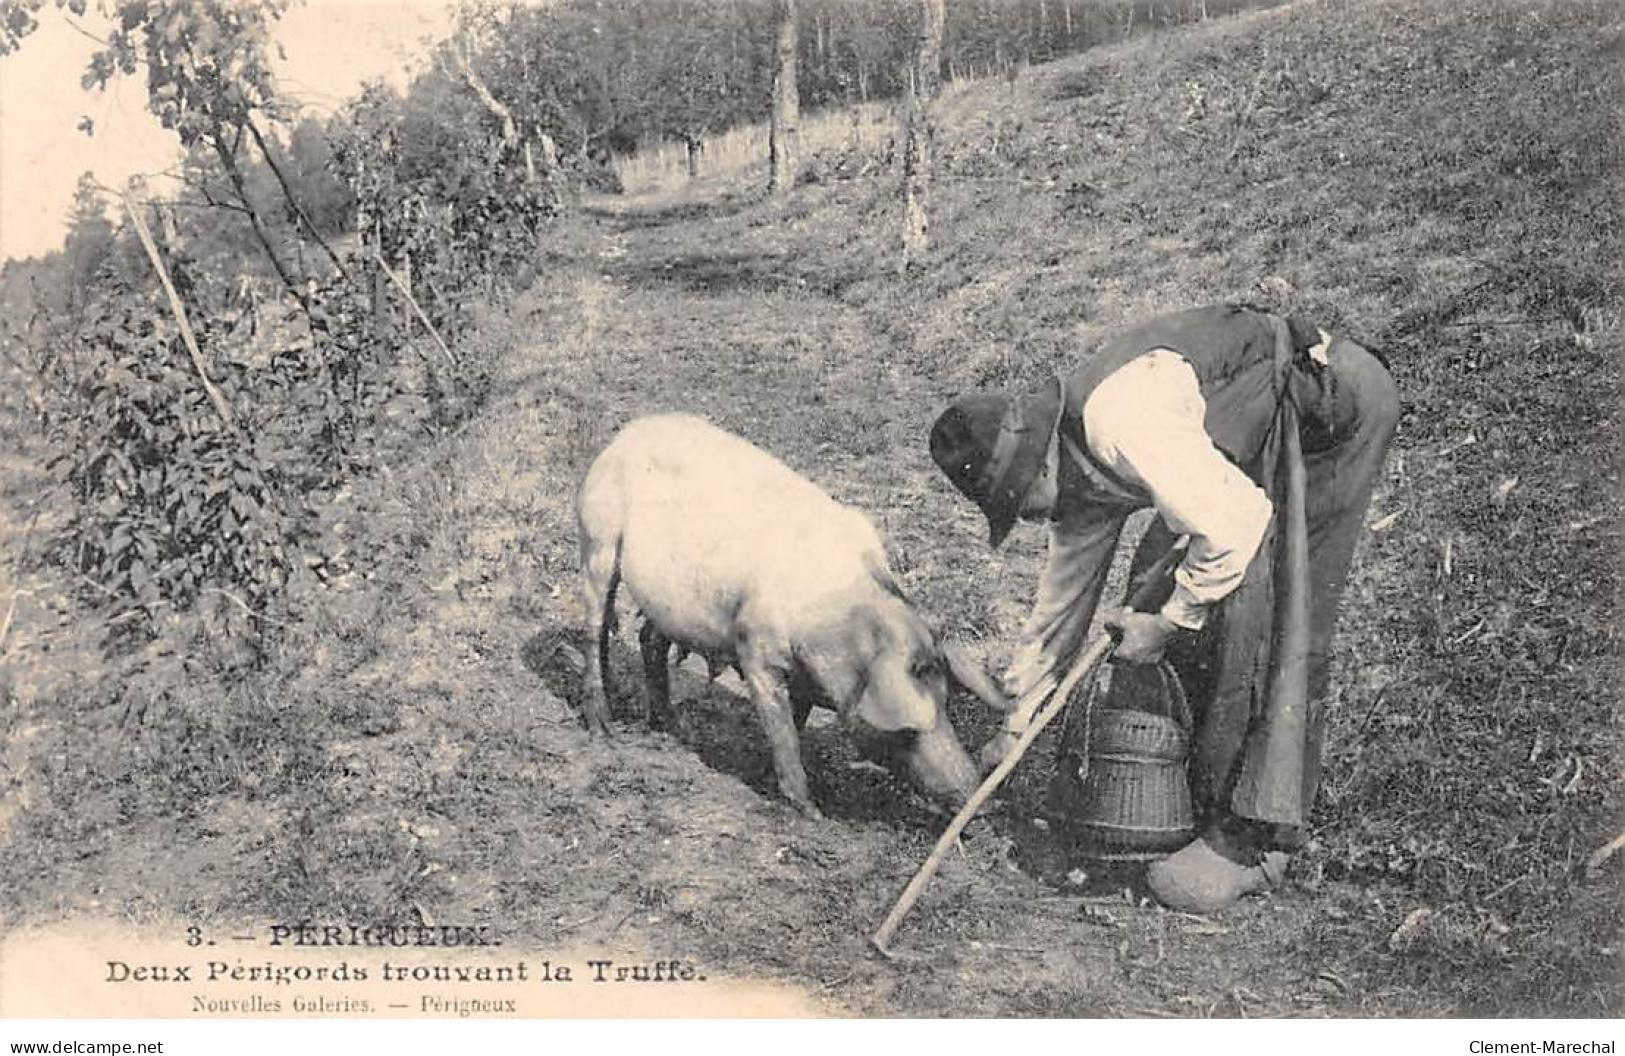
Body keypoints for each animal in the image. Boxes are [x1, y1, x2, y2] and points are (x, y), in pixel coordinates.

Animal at [578, 411, 981, 815]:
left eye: (946, 703)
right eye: (908, 732)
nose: (972, 791)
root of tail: (628, 433)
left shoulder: (804, 674)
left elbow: (795, 723)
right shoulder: (755, 648)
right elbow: (782, 729)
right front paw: (810, 811)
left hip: (669, 600)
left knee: (649, 638)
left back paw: (669, 727)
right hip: (598, 537)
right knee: (594, 628)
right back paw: (605, 728)